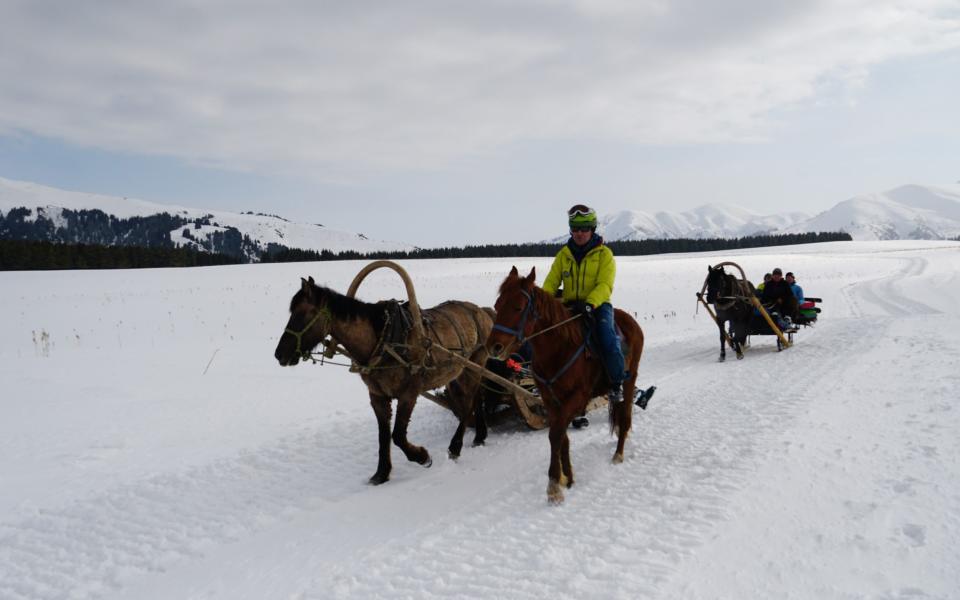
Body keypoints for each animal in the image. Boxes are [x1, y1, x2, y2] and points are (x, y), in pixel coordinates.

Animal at [274, 276, 492, 482]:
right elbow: (383, 436)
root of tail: (482, 311)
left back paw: (455, 447)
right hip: (460, 373)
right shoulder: (377, 396)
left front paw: (422, 457)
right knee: (477, 399)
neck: (383, 340)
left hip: (473, 367)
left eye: (303, 314)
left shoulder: (408, 393)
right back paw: (479, 435)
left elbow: (398, 436)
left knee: (468, 405)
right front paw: (381, 474)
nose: (279, 354)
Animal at [488, 264, 644, 504]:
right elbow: (561, 436)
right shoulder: (550, 400)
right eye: (497, 305)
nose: (494, 347)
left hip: (629, 380)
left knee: (625, 417)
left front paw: (554, 485)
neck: (559, 349)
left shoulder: (577, 398)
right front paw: (567, 477)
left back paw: (618, 454)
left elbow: (555, 435)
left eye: (518, 307)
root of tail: (630, 321)